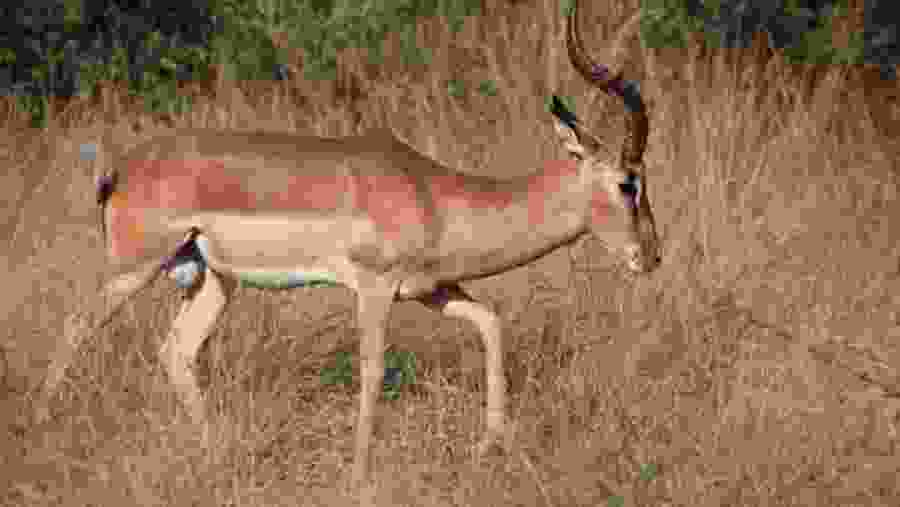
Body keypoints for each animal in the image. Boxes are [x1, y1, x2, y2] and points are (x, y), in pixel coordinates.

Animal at [42, 2, 659, 500]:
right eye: (629, 182)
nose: (650, 255)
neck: (433, 196)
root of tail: (119, 171)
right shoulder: (375, 288)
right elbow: (373, 367)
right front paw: (360, 476)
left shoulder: (431, 290)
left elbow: (491, 323)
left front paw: (490, 446)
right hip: (134, 267)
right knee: (73, 326)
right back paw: (41, 428)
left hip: (215, 280)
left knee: (176, 350)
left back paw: (215, 454)